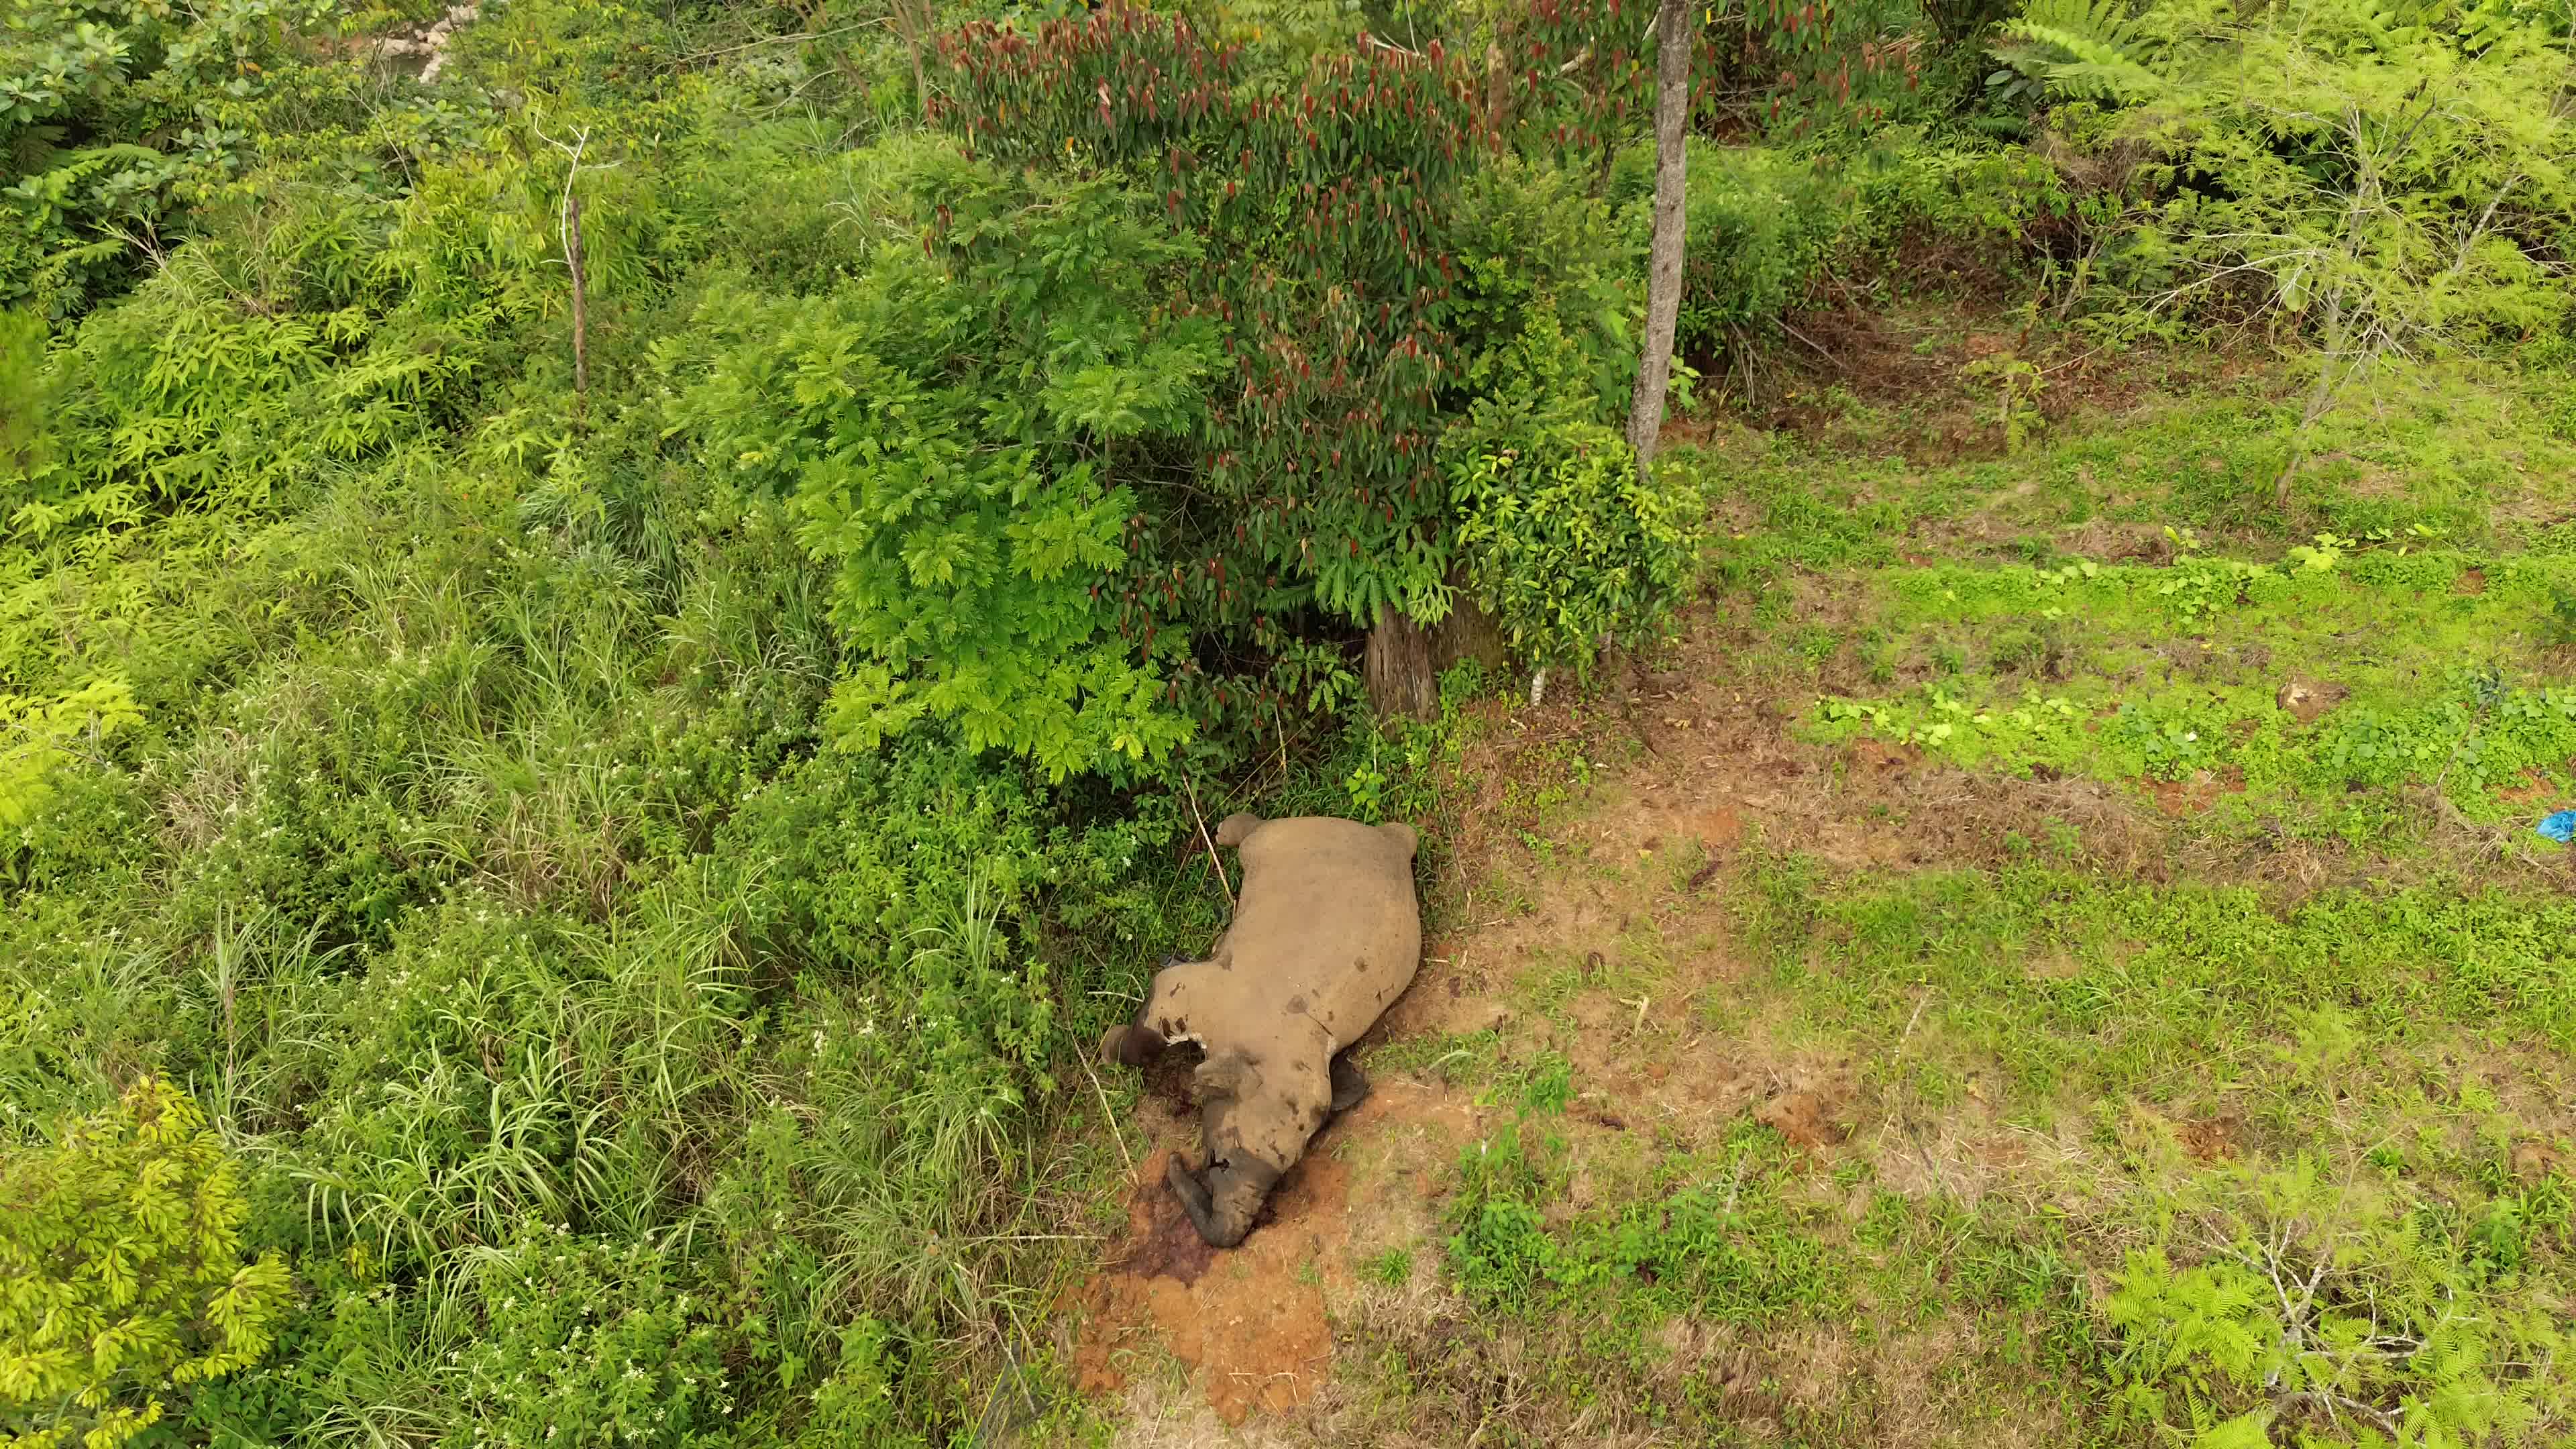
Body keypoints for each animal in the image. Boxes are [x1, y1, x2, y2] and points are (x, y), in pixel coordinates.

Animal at [1099, 812, 1422, 1247]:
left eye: (1282, 1174)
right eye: (1222, 1161)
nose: (1176, 1161)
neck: (1265, 1043)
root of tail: (1393, 843)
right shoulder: (1182, 994)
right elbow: (1141, 1041)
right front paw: (1107, 1047)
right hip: (1277, 838)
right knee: (1251, 832)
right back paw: (1226, 831)